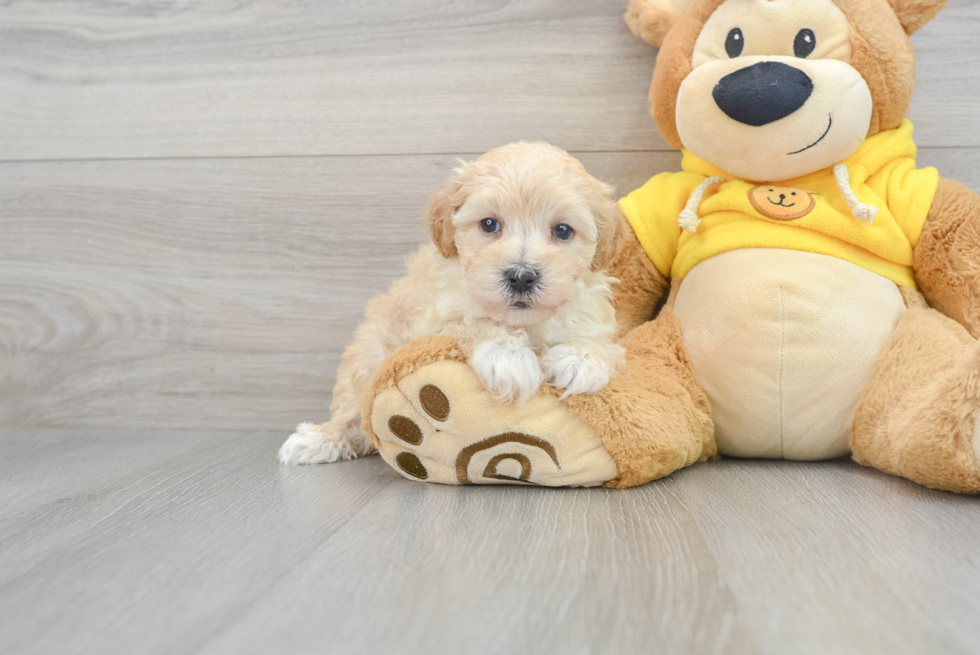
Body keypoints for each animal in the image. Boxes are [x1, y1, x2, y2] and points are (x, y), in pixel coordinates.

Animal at [280, 141, 624, 464]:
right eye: (489, 224)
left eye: (563, 230)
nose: (521, 276)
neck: (523, 322)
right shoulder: (432, 319)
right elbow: (470, 322)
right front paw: (508, 358)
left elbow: (593, 338)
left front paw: (581, 359)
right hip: (366, 359)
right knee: (351, 415)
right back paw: (316, 440)